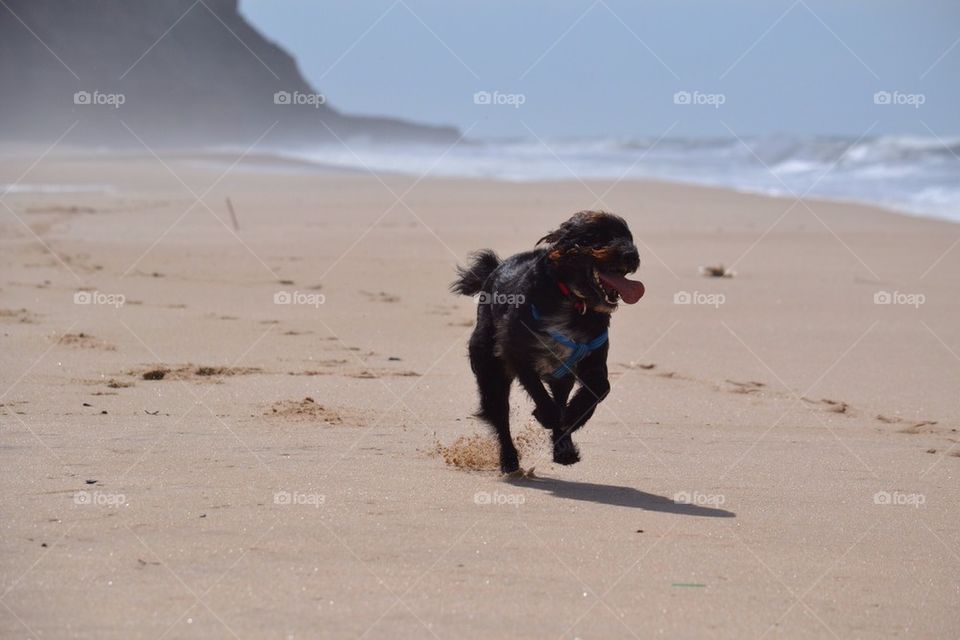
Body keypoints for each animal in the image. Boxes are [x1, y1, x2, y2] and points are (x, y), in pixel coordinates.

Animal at [450, 212, 644, 472]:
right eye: (597, 237)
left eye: (628, 237)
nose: (632, 255)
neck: (572, 300)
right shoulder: (515, 351)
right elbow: (537, 389)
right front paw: (547, 416)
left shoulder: (591, 357)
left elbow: (600, 387)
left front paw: (572, 418)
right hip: (490, 368)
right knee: (500, 414)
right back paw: (509, 459)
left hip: (562, 377)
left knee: (560, 399)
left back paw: (564, 448)